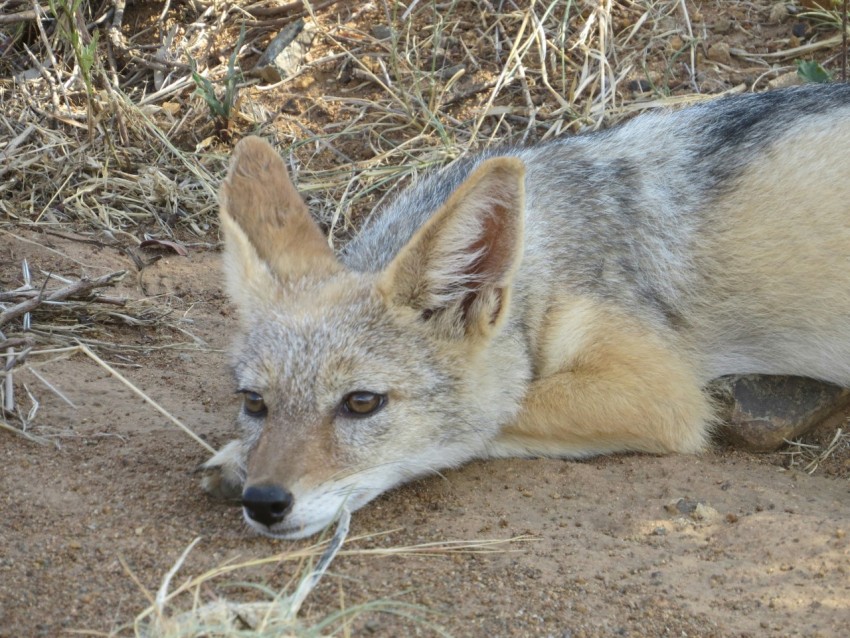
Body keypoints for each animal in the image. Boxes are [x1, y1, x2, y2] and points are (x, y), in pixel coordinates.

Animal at [202, 84, 850, 539]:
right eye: (254, 403)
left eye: (362, 403)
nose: (264, 502)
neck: (543, 257)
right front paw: (239, 457)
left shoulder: (664, 394)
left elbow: (493, 415)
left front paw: (235, 462)